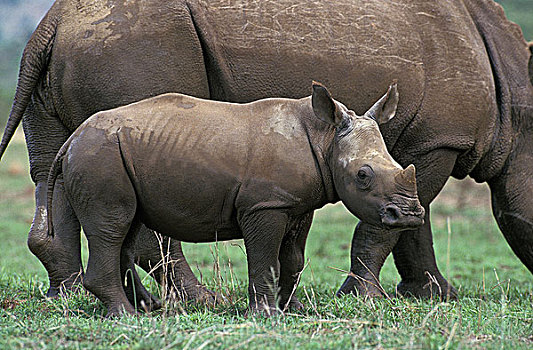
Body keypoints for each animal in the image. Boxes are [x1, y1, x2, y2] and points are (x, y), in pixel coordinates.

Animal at [47, 82, 422, 318]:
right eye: (362, 175)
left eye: (400, 165)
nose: (409, 216)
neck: (325, 136)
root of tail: (71, 139)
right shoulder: (265, 205)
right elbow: (265, 259)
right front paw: (266, 315)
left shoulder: (297, 205)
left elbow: (293, 259)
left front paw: (294, 310)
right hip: (100, 155)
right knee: (112, 228)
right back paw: (126, 316)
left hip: (113, 153)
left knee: (126, 230)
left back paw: (147, 307)